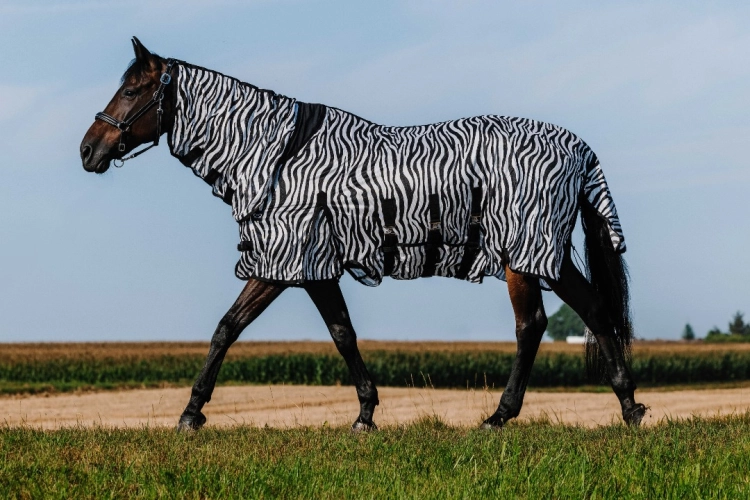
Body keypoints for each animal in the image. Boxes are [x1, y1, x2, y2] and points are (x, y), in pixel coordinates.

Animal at [80, 37, 645, 432]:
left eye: (131, 91)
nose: (88, 150)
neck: (278, 157)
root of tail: (577, 147)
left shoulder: (287, 261)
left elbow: (233, 328)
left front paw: (191, 412)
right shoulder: (309, 267)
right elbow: (334, 332)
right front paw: (366, 413)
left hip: (523, 255)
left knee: (532, 326)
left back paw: (500, 416)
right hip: (546, 254)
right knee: (595, 311)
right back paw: (629, 405)